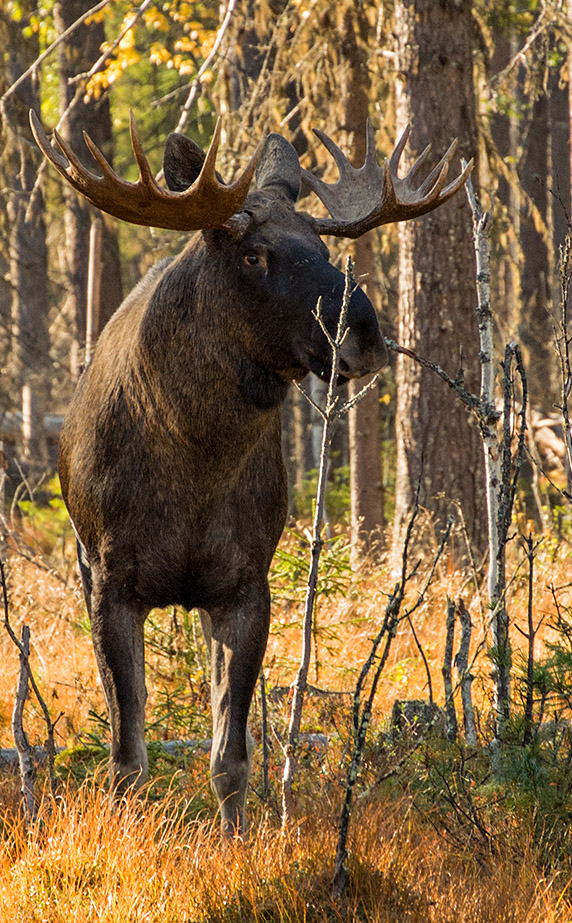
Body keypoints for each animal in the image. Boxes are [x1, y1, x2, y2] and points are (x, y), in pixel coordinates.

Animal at [29, 110, 472, 836]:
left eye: (322, 246)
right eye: (252, 254)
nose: (365, 331)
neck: (196, 472)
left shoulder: (246, 583)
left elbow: (230, 755)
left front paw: (236, 842)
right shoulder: (111, 578)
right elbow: (126, 751)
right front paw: (122, 837)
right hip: (82, 560)